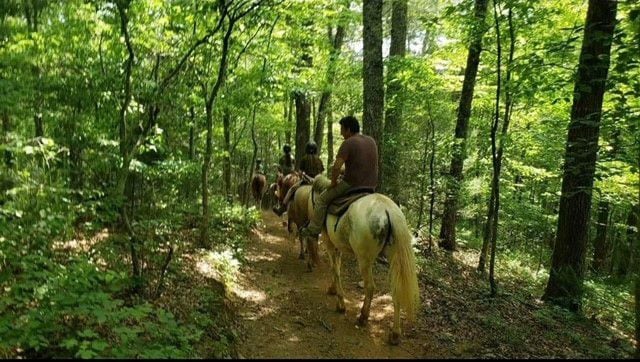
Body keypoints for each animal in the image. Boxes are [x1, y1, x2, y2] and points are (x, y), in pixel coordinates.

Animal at [308, 175, 420, 346]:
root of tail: (388, 211)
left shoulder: (329, 243)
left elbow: (335, 269)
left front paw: (340, 304)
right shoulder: (338, 246)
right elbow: (337, 267)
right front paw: (333, 289)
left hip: (364, 260)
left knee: (370, 287)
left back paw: (363, 317)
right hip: (394, 258)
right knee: (396, 291)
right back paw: (395, 334)